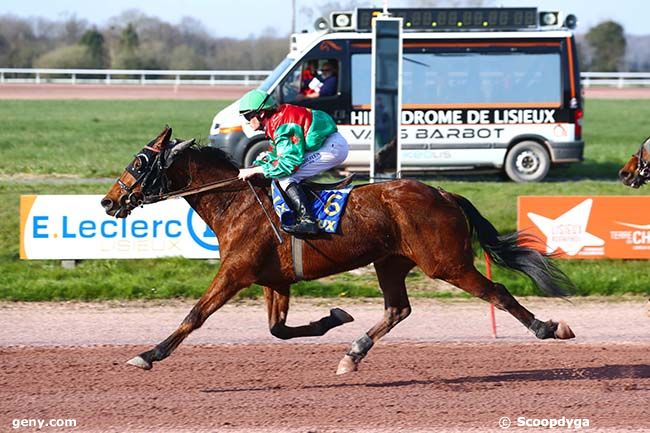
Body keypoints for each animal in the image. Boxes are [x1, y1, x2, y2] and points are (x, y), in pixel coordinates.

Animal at [100, 125, 572, 374]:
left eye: (139, 163)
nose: (107, 201)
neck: (235, 202)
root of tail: (444, 193)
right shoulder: (274, 279)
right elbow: (279, 330)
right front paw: (335, 317)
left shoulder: (236, 272)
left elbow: (195, 315)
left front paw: (148, 354)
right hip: (391, 262)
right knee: (398, 309)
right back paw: (353, 353)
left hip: (446, 262)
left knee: (498, 293)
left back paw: (547, 328)